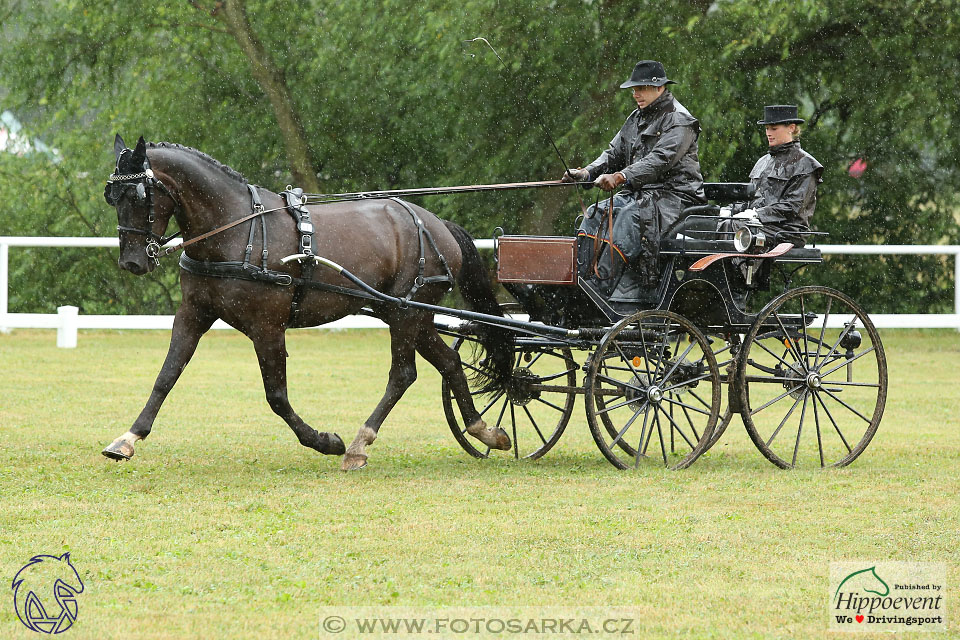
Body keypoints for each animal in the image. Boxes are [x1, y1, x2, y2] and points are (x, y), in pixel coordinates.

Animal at [101, 138, 512, 470]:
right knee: (449, 362)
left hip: (405, 314)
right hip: (407, 315)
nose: (132, 262)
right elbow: (166, 376)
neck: (237, 228)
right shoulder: (193, 314)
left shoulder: (267, 327)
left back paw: (358, 445)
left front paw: (324, 442)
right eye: (111, 197)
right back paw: (483, 430)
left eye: (138, 196)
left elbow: (277, 396)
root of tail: (436, 223)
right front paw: (128, 438)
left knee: (402, 374)